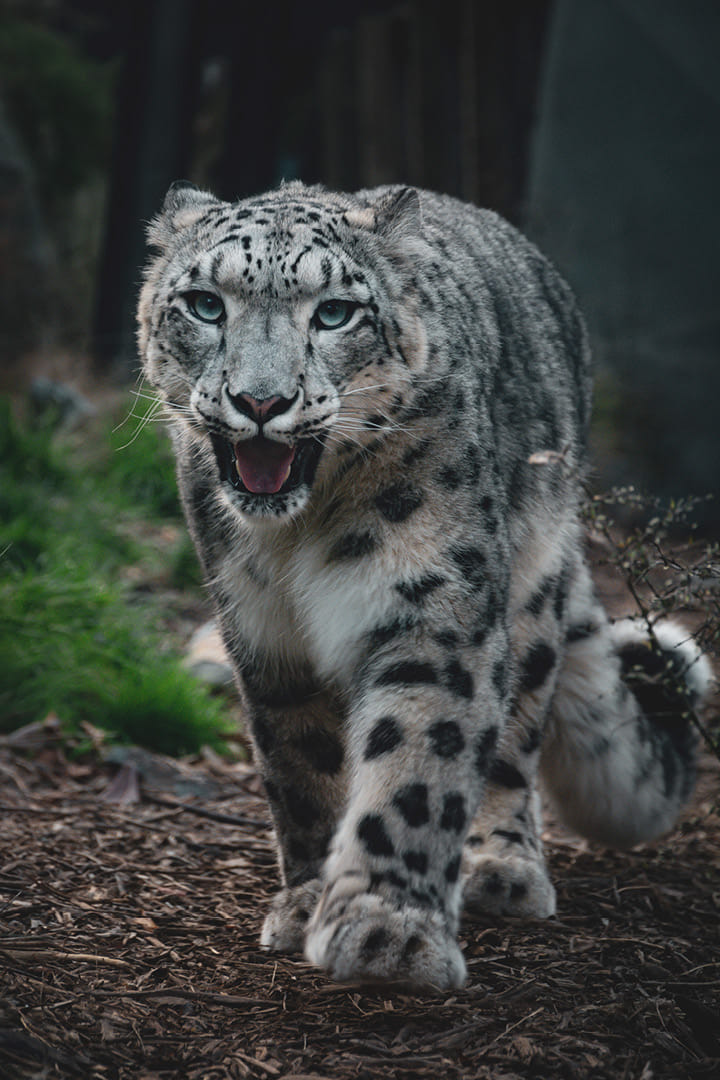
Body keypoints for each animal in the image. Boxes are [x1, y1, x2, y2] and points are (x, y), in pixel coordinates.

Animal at [137, 179, 712, 990]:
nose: (260, 401)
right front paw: (309, 900)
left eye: (335, 312)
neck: (299, 533)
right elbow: (301, 767)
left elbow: (417, 764)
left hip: (531, 591)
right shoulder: (262, 629)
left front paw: (389, 932)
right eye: (205, 304)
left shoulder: (433, 608)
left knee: (515, 738)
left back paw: (503, 868)